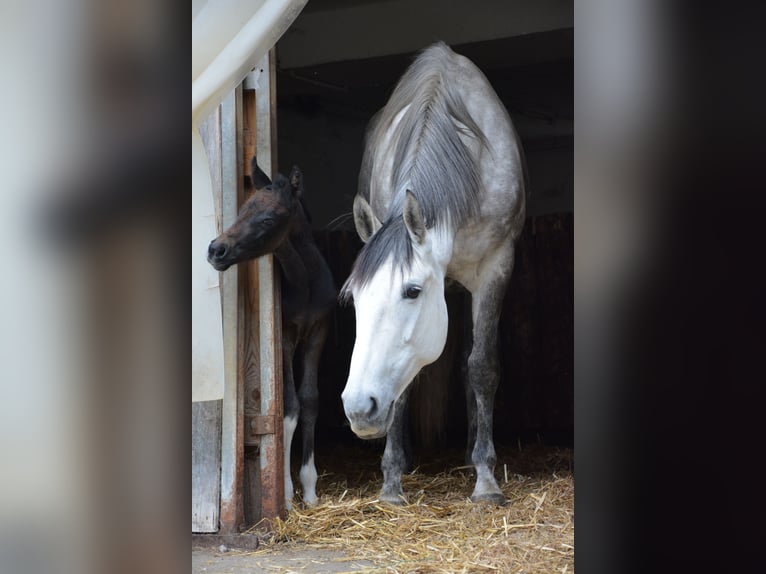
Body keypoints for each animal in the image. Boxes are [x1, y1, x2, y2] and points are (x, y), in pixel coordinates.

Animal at [208, 158, 336, 510]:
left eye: (267, 218)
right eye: (241, 210)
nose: (216, 250)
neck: (305, 284)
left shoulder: (318, 331)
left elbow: (310, 400)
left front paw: (310, 489)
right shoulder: (285, 336)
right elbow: (288, 407)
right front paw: (288, 494)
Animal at [340, 42, 526, 505]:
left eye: (412, 291)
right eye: (355, 301)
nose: (358, 408)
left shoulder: (495, 268)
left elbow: (482, 367)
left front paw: (486, 478)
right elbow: (404, 385)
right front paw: (391, 481)